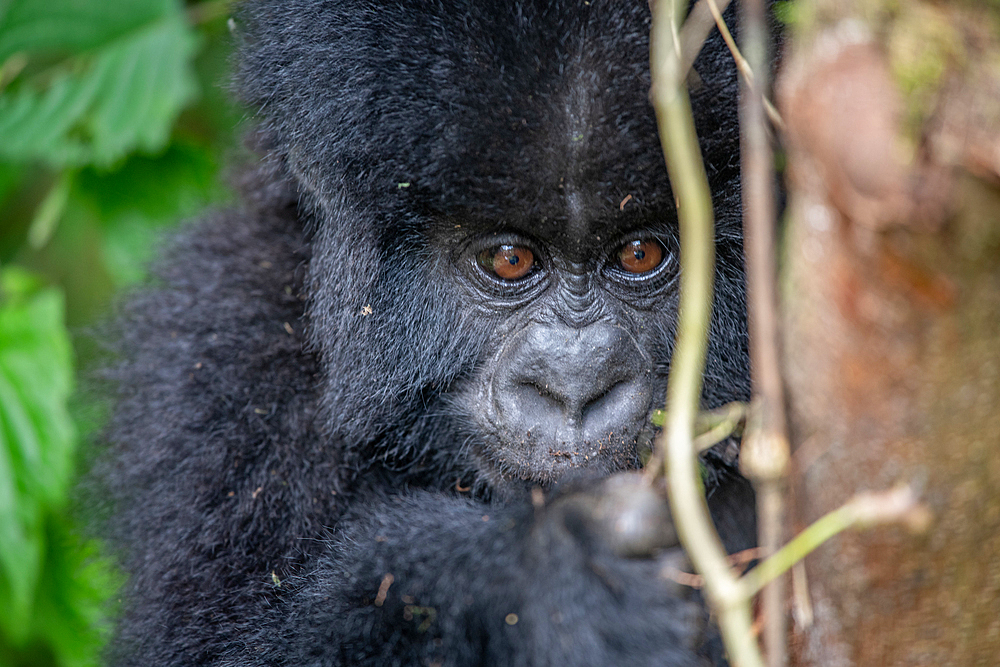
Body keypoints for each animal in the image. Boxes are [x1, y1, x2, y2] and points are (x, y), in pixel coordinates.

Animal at [97, 0, 752, 664]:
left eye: (640, 254)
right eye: (509, 260)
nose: (575, 388)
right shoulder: (218, 347)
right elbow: (211, 641)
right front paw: (550, 579)